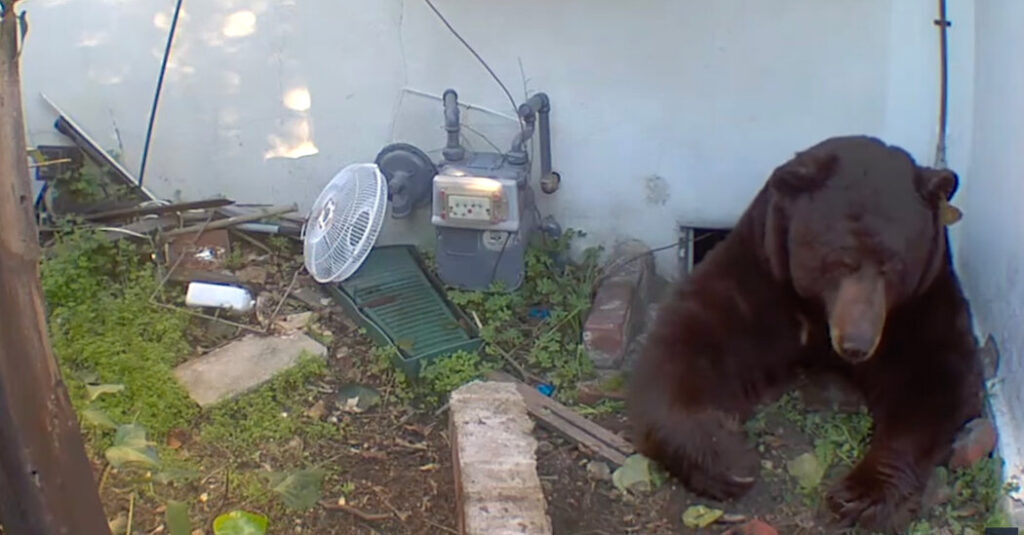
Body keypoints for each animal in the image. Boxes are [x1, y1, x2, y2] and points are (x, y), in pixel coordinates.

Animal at [627, 135, 985, 533]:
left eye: (893, 266)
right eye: (840, 260)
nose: (856, 344)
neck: (818, 312)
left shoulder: (920, 303)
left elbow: (935, 377)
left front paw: (860, 495)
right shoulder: (762, 275)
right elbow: (688, 340)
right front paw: (729, 460)